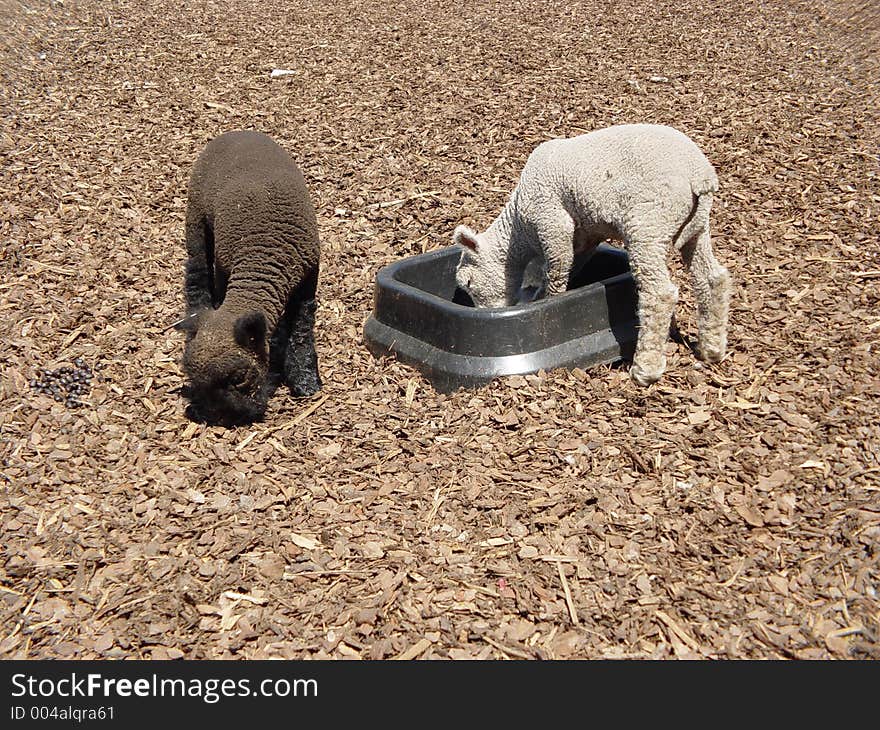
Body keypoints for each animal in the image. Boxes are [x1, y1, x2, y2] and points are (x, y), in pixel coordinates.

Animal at [180, 129, 322, 426]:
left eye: (238, 378)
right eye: (196, 384)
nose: (221, 419)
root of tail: (236, 132)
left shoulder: (308, 281)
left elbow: (301, 333)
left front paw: (305, 381)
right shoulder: (225, 269)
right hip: (196, 217)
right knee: (197, 272)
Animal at [458, 123, 732, 386]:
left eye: (467, 283)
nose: (482, 312)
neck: (520, 230)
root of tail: (700, 175)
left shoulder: (551, 221)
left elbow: (556, 274)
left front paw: (548, 303)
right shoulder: (584, 236)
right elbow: (567, 268)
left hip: (649, 221)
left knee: (659, 294)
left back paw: (645, 369)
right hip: (696, 226)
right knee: (712, 278)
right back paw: (711, 348)